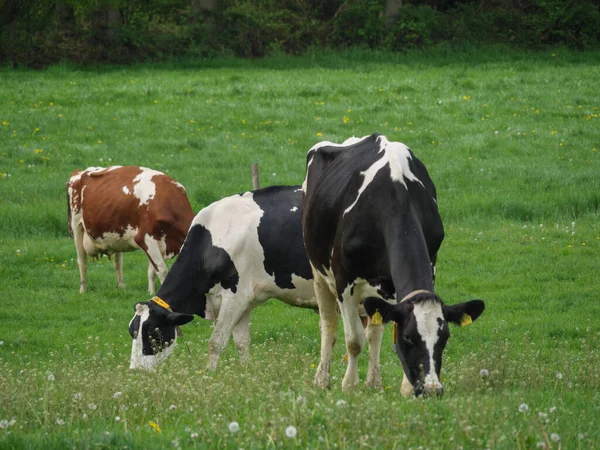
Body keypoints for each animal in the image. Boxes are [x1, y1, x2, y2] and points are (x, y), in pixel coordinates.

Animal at [127, 185, 318, 370]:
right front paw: (246, 373)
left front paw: (210, 373)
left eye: (151, 332)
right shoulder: (245, 302)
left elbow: (215, 342)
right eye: (131, 331)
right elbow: (242, 343)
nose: (135, 370)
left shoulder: (235, 298)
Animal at [302, 134, 486, 398]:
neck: (396, 195)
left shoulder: (426, 266)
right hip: (318, 272)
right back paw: (322, 379)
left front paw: (405, 388)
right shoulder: (344, 280)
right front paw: (349, 385)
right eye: (409, 338)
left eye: (444, 338)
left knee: (374, 332)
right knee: (329, 326)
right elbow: (353, 339)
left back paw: (374, 383)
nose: (432, 389)